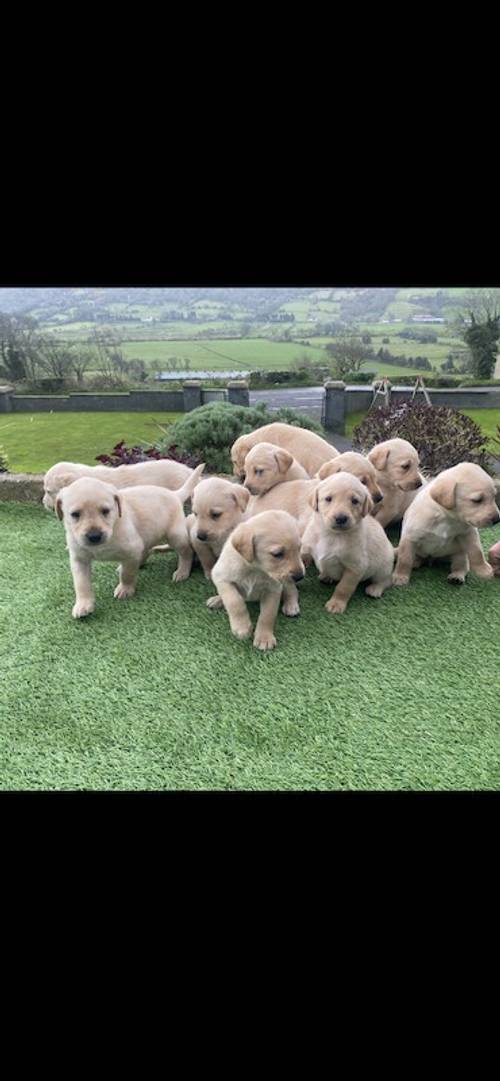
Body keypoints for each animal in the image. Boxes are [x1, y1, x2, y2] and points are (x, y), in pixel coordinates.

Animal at [54, 464, 203, 618]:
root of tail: (174, 494)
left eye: (105, 511)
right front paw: (83, 604)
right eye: (75, 514)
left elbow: (127, 574)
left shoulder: (132, 549)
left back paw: (182, 572)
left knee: (186, 552)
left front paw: (125, 589)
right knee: (146, 550)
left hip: (175, 535)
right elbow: (81, 583)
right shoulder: (79, 559)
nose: (94, 536)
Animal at [210, 508, 304, 648]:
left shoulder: (273, 589)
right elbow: (234, 601)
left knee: (292, 590)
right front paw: (242, 627)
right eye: (277, 554)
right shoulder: (221, 577)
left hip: (285, 582)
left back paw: (291, 605)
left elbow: (267, 615)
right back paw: (217, 600)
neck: (255, 569)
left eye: (299, 549)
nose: (300, 576)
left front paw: (264, 638)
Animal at [300, 475, 397, 618]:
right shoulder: (306, 546)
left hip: (383, 567)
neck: (331, 534)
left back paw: (375, 589)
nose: (341, 518)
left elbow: (343, 587)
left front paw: (336, 604)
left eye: (355, 501)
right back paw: (326, 576)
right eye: (328, 498)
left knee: (386, 580)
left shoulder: (355, 567)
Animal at [393, 460, 498, 588]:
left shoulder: (468, 532)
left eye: (494, 496)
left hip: (459, 553)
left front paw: (484, 570)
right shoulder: (410, 537)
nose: (497, 519)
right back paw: (415, 562)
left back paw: (457, 577)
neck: (446, 517)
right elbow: (405, 559)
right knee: (414, 557)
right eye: (477, 500)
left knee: (461, 565)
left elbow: (476, 551)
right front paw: (400, 577)